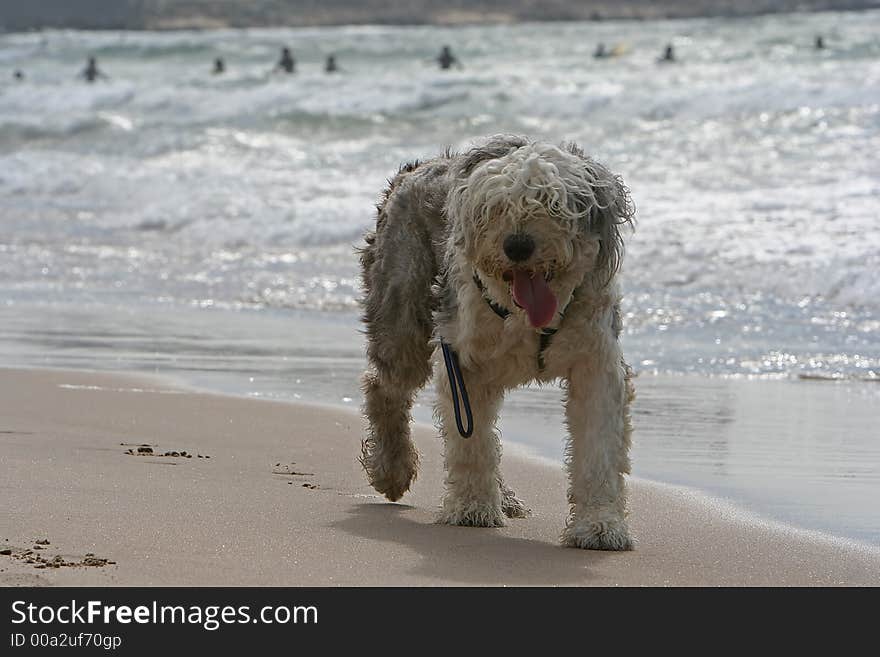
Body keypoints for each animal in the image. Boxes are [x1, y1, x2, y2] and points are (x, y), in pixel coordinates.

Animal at [360, 133, 636, 548]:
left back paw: (504, 497)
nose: (517, 246)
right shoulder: (461, 359)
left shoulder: (597, 364)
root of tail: (415, 168)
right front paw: (472, 509)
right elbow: (470, 442)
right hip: (403, 309)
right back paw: (392, 470)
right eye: (495, 207)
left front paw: (600, 527)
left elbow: (598, 448)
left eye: (551, 201)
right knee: (384, 387)